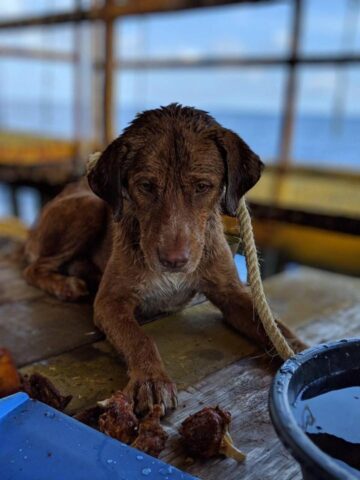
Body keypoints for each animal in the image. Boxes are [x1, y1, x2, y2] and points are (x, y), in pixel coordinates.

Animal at [23, 103, 304, 414]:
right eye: (146, 186)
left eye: (202, 186)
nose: (173, 261)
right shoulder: (111, 301)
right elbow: (139, 338)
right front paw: (151, 379)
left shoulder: (231, 293)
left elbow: (273, 326)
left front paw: (300, 351)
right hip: (89, 207)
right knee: (33, 268)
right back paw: (65, 284)